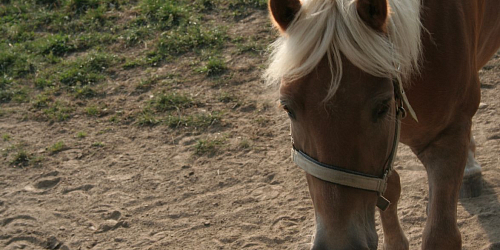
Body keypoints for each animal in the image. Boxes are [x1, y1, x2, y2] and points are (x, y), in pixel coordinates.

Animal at [266, 0, 500, 248]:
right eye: (288, 108)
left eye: (382, 106)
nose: (338, 242)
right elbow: (392, 185)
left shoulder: (448, 136)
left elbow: (441, 235)